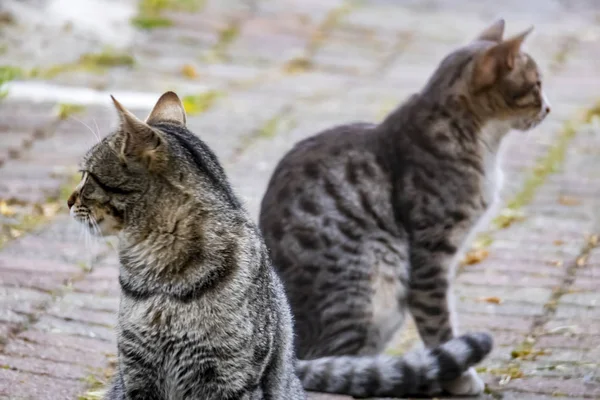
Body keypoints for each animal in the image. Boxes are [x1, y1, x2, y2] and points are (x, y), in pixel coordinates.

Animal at [260, 19, 552, 396]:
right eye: (537, 85)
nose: (548, 108)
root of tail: (286, 353)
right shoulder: (431, 253)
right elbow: (438, 322)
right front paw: (460, 378)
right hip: (372, 281)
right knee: (336, 361)